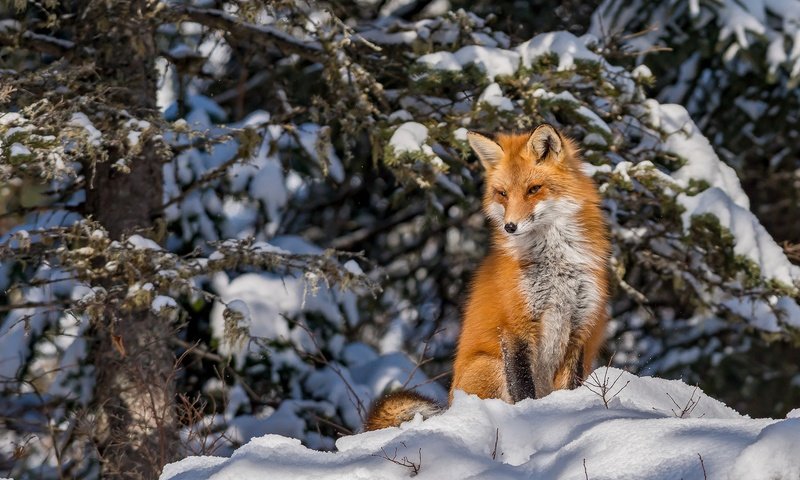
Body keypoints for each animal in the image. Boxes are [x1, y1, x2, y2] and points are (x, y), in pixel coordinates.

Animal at [366, 124, 608, 432]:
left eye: (534, 189)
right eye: (502, 193)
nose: (510, 227)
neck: (555, 264)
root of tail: (451, 404)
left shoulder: (580, 326)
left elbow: (571, 387)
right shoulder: (515, 325)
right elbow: (522, 388)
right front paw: (531, 418)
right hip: (489, 364)